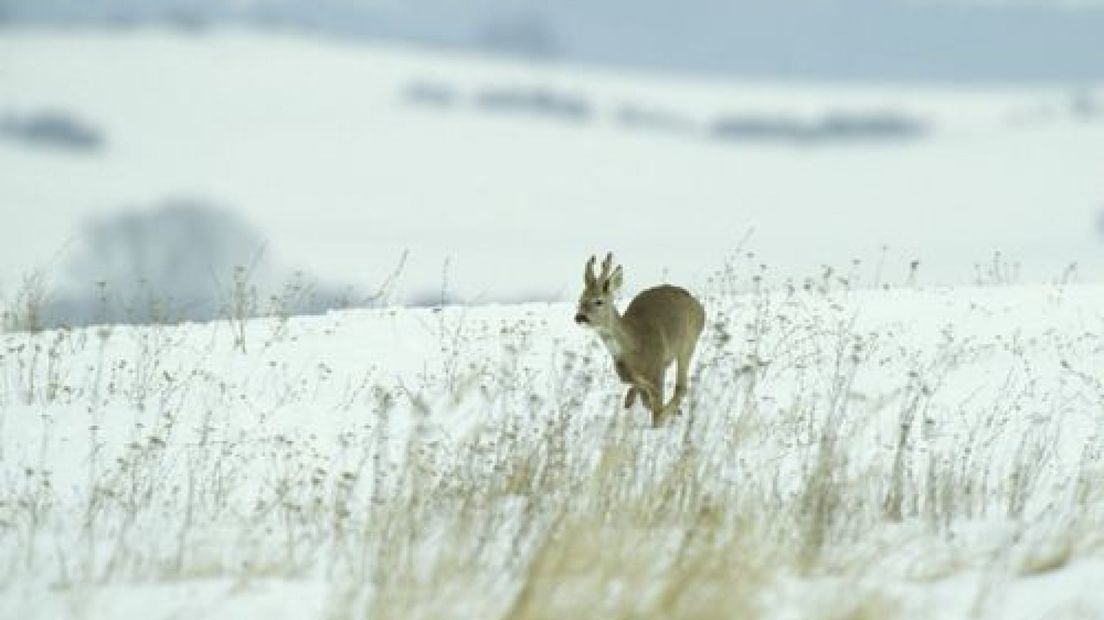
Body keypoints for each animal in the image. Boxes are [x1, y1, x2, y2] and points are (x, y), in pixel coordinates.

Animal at [574, 251, 702, 423]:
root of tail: (696, 303)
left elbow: (657, 413)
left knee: (681, 387)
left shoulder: (656, 372)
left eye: (598, 301)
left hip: (688, 343)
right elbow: (644, 400)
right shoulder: (636, 378)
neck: (634, 346)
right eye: (580, 300)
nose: (580, 317)